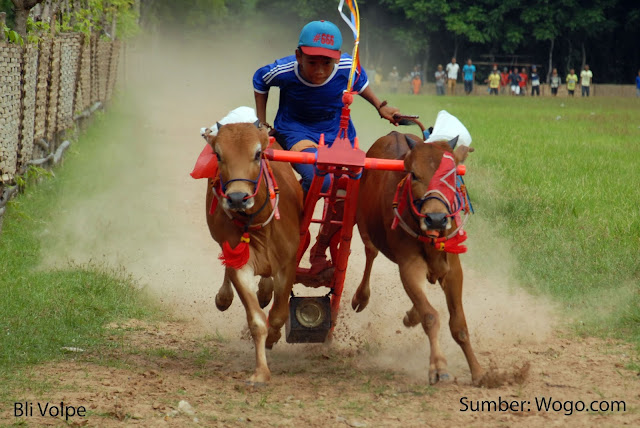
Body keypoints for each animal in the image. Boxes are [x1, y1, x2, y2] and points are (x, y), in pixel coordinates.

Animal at [206, 122, 304, 382]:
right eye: (218, 154)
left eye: (258, 153)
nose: (237, 198)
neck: (260, 226)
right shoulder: (240, 263)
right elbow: (257, 320)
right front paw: (260, 373)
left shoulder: (288, 264)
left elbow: (278, 314)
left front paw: (273, 337)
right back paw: (224, 297)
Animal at [350, 132, 484, 386]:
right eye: (414, 174)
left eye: (452, 174)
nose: (436, 219)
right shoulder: (409, 266)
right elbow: (430, 316)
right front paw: (438, 366)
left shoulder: (453, 270)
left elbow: (459, 325)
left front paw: (478, 371)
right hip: (363, 225)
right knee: (370, 255)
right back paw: (361, 297)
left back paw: (411, 315)